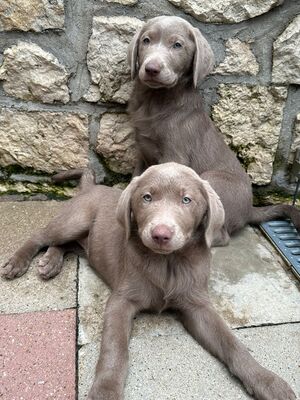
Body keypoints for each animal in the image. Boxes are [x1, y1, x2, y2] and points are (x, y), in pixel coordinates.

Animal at [0, 162, 296, 400]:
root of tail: (91, 187)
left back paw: (51, 262)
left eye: (186, 200)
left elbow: (232, 344)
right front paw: (106, 391)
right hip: (75, 219)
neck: (168, 263)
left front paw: (268, 381)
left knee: (65, 245)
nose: (161, 234)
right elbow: (115, 349)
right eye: (147, 198)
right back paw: (19, 262)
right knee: (42, 236)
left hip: (85, 239)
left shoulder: (197, 305)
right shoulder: (121, 301)